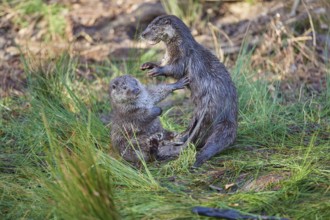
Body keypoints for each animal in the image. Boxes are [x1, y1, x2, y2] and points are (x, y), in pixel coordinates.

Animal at [139, 15, 237, 167]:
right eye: (148, 25)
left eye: (154, 28)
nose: (143, 34)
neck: (177, 46)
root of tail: (228, 115)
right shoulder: (167, 57)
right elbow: (163, 63)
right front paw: (149, 64)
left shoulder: (183, 56)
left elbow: (175, 69)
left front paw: (157, 70)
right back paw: (176, 139)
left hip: (210, 114)